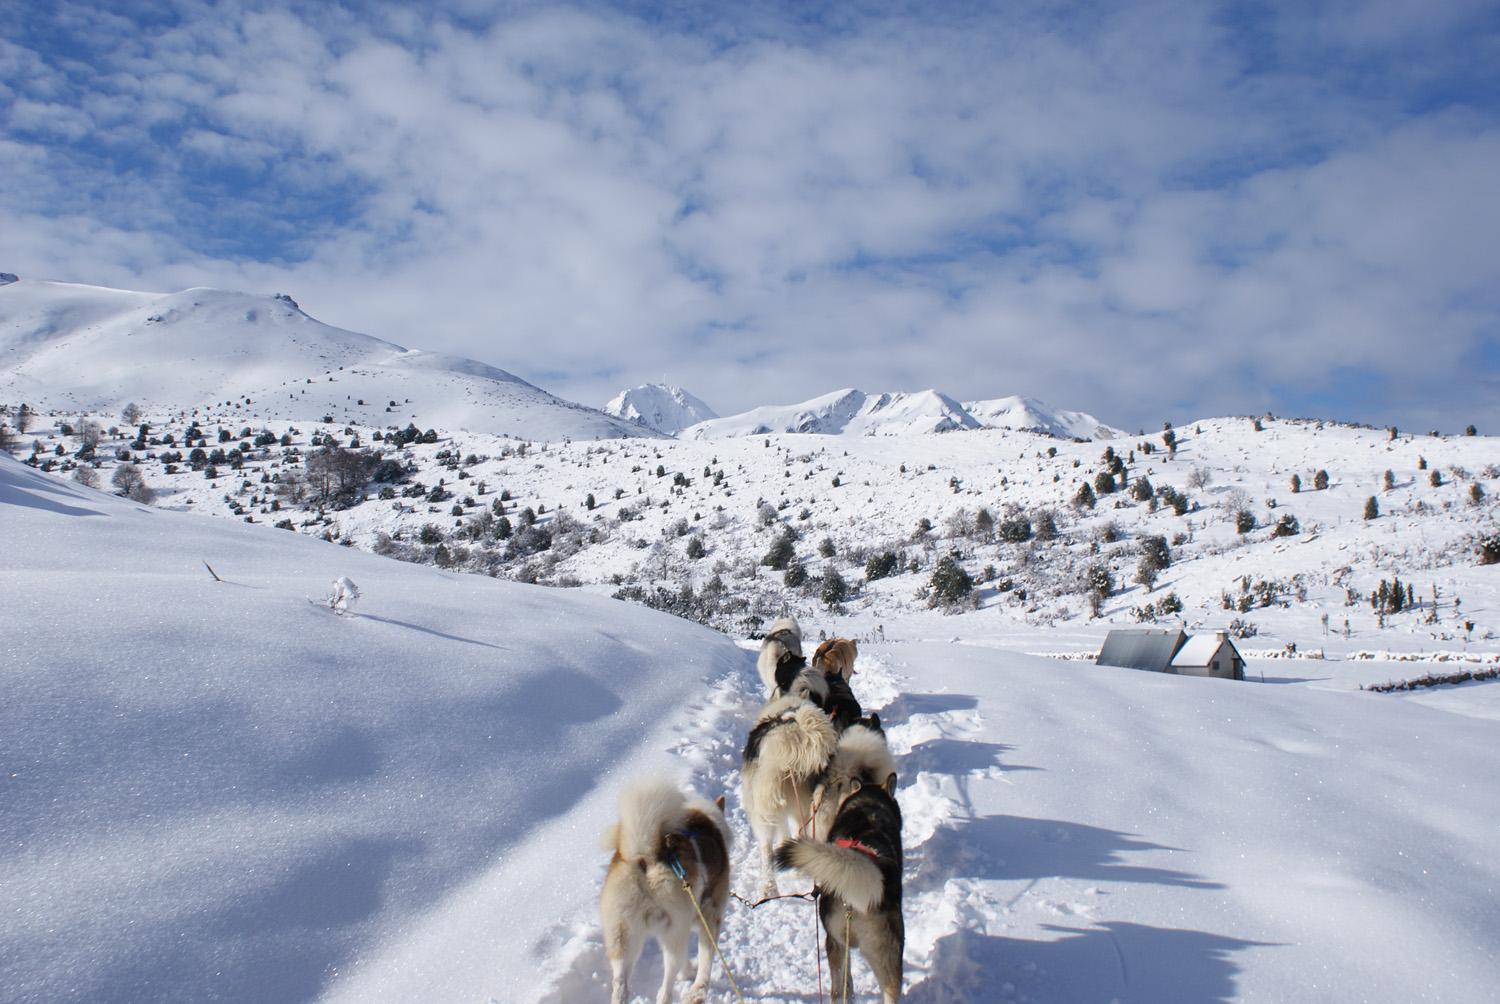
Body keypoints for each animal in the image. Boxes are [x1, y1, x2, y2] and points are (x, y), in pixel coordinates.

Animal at [603, 774, 732, 1002]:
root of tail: (645, 857)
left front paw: (687, 973)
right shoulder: (710, 918)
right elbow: (706, 959)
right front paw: (697, 984)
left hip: (623, 937)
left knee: (620, 985)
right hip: (674, 933)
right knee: (665, 986)